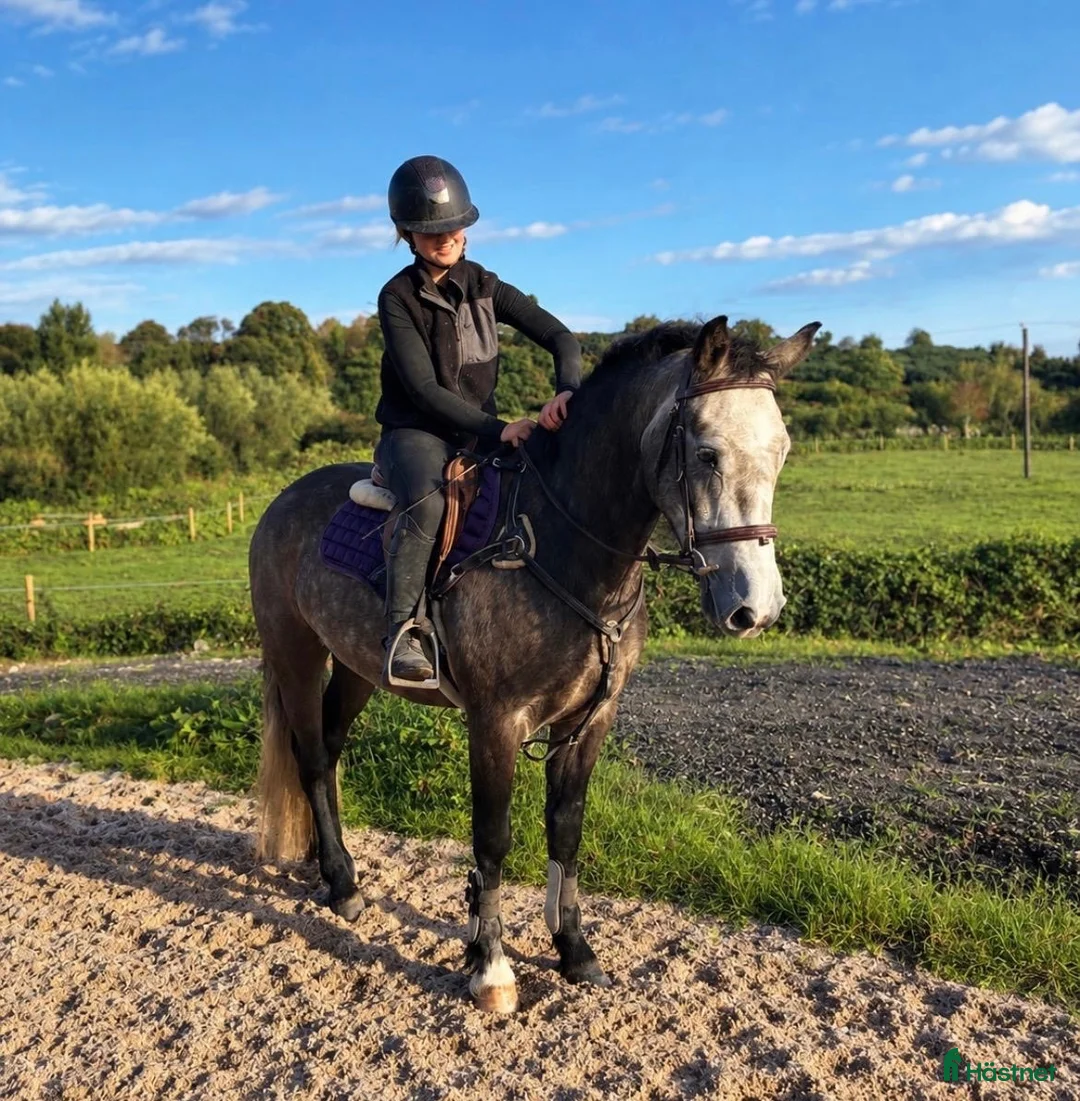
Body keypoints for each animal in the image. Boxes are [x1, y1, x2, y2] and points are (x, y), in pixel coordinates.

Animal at [249, 314, 819, 1014]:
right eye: (707, 453)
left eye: (782, 451)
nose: (754, 608)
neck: (559, 545)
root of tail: (284, 500)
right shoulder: (495, 721)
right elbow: (492, 837)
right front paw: (490, 967)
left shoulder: (588, 721)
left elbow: (566, 831)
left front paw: (573, 950)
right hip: (296, 654)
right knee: (308, 755)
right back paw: (342, 883)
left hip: (357, 668)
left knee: (328, 752)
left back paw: (336, 870)